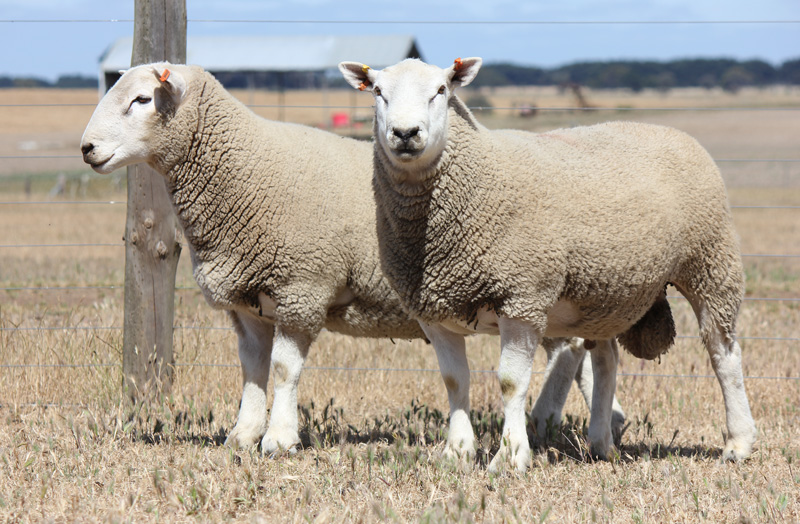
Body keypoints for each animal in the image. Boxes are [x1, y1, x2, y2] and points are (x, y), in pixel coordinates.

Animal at [78, 60, 624, 454]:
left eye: (142, 100)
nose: (87, 148)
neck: (242, 169)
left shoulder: (301, 284)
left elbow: (283, 369)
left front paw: (279, 440)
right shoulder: (248, 302)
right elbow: (252, 369)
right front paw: (242, 436)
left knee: (572, 351)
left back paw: (554, 421)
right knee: (579, 351)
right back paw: (602, 424)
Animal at [340, 56, 756, 470]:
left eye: (441, 90)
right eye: (378, 92)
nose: (405, 133)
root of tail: (670, 131)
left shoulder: (522, 296)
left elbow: (510, 381)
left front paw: (510, 457)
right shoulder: (433, 310)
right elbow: (454, 380)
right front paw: (456, 453)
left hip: (710, 261)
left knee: (723, 353)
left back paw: (738, 442)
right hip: (606, 288)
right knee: (606, 359)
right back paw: (601, 443)